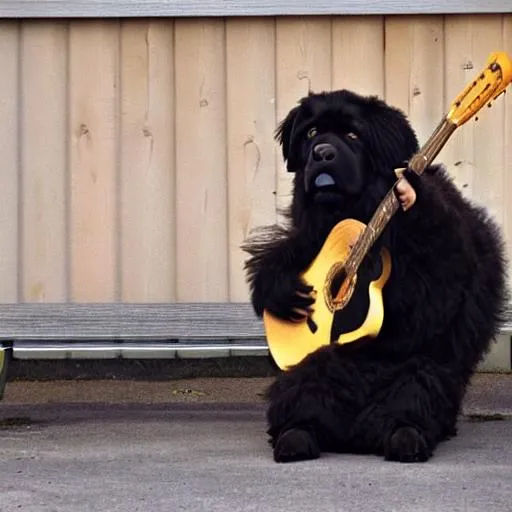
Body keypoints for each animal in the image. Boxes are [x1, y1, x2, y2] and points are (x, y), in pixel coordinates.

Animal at [244, 90, 508, 466]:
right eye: (312, 133)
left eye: (353, 135)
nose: (322, 152)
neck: (354, 209)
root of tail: (354, 435)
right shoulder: (307, 235)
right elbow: (280, 255)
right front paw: (282, 290)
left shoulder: (444, 266)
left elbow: (434, 296)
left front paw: (410, 194)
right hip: (304, 374)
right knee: (301, 391)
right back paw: (296, 436)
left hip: (419, 377)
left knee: (414, 393)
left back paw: (405, 437)